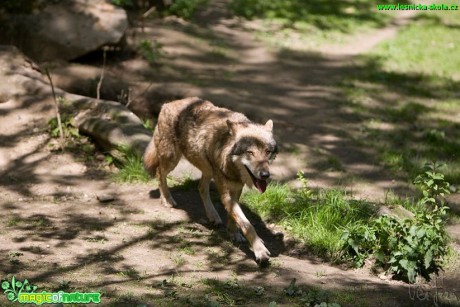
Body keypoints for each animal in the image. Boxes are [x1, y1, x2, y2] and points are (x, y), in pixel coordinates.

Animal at [144, 97, 278, 262]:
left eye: (268, 152)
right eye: (250, 152)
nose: (265, 175)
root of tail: (168, 104)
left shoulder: (236, 189)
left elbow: (234, 217)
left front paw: (234, 233)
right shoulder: (226, 193)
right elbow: (247, 225)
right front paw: (259, 250)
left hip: (207, 169)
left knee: (201, 188)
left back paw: (213, 216)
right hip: (171, 159)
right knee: (159, 173)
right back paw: (167, 199)